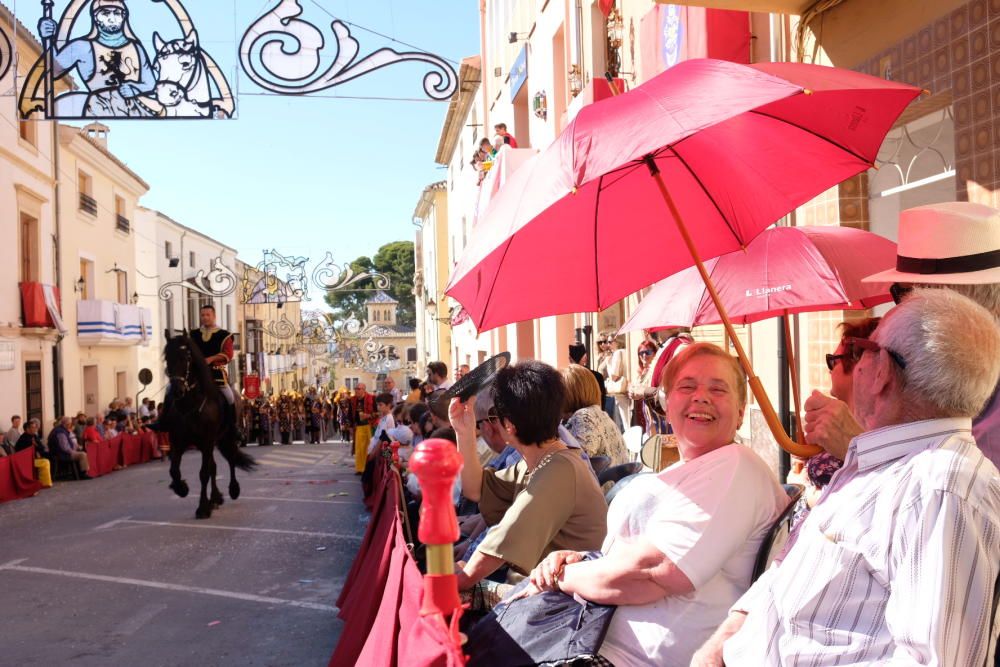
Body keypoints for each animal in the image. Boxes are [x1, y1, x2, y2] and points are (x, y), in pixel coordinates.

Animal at [162, 336, 256, 520]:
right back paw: (215, 499)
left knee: (231, 459)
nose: (177, 390)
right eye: (167, 358)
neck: (189, 406)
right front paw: (181, 488)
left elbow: (203, 473)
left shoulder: (206, 442)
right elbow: (174, 471)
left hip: (226, 438)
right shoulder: (178, 442)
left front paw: (203, 508)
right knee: (214, 466)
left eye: (187, 357)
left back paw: (233, 490)